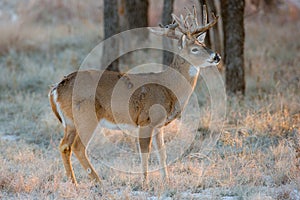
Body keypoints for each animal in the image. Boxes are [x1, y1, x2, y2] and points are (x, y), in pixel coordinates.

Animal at [48, 5, 220, 187]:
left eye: (204, 43)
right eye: (195, 49)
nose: (216, 56)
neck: (169, 87)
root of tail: (57, 88)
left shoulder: (159, 125)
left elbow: (162, 152)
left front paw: (166, 180)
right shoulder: (146, 121)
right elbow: (145, 152)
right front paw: (145, 182)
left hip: (70, 121)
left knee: (64, 146)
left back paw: (73, 182)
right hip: (86, 116)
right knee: (78, 147)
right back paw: (98, 181)